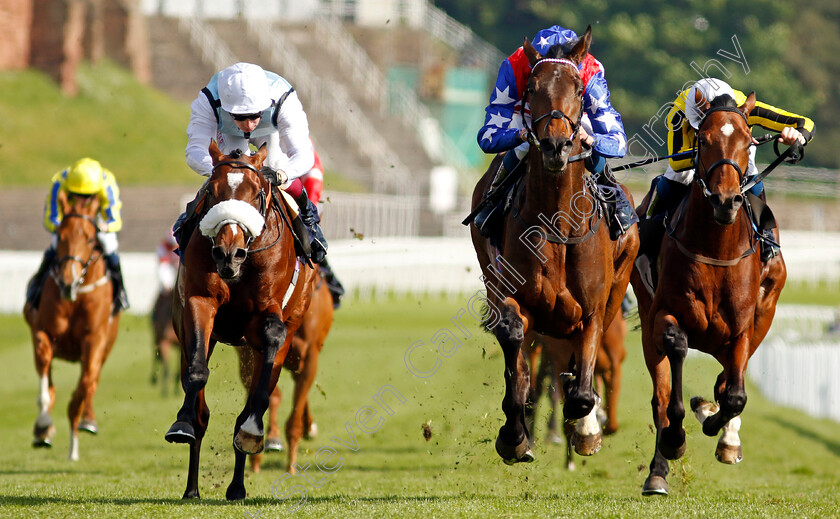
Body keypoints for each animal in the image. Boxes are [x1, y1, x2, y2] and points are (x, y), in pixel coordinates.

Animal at [22, 190, 120, 460]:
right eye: (61, 235)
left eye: (90, 238)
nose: (68, 282)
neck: (75, 298)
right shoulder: (42, 333)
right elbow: (45, 383)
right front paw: (43, 425)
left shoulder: (95, 340)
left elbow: (84, 386)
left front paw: (82, 427)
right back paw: (44, 433)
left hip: (107, 346)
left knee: (91, 383)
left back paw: (80, 434)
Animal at [164, 141, 316, 500]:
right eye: (212, 191)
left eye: (257, 192)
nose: (228, 252)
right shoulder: (199, 301)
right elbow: (197, 372)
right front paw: (183, 422)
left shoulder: (269, 315)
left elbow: (272, 338)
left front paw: (251, 431)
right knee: (202, 410)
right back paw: (193, 488)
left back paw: (237, 481)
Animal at [470, 26, 640, 468]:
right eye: (532, 87)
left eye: (579, 88)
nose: (556, 146)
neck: (558, 225)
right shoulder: (511, 296)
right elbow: (514, 346)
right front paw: (515, 435)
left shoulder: (595, 309)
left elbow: (581, 387)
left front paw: (586, 429)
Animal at [632, 92, 788, 496]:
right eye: (703, 140)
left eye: (749, 141)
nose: (725, 201)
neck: (717, 250)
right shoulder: (663, 315)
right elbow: (675, 363)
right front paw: (676, 439)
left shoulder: (742, 329)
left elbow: (735, 395)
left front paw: (716, 425)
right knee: (661, 395)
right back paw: (658, 472)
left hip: (762, 316)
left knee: (728, 380)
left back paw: (723, 431)